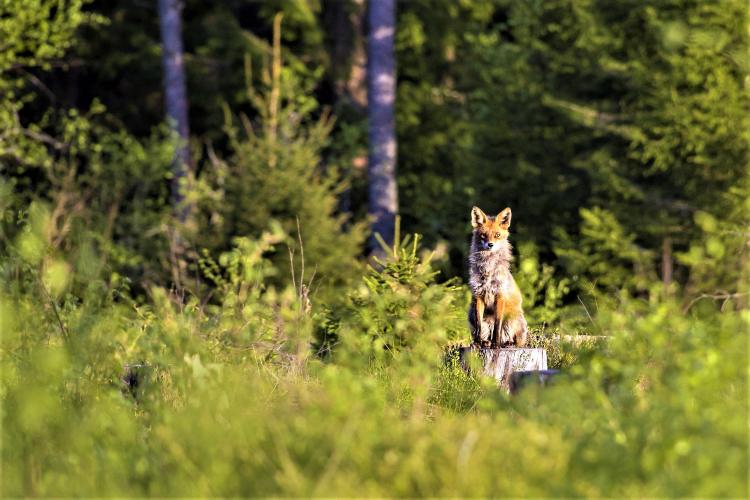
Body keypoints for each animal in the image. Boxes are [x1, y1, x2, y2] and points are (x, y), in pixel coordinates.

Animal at [470, 206, 528, 348]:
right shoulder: (478, 296)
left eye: (497, 235)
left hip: (514, 317)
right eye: (483, 235)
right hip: (471, 312)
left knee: (514, 339)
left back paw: (506, 343)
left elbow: (498, 325)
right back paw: (485, 342)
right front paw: (477, 343)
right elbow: (479, 325)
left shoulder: (500, 296)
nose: (490, 245)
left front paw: (496, 345)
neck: (488, 270)